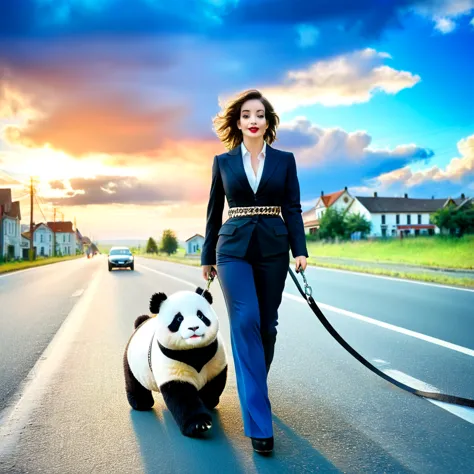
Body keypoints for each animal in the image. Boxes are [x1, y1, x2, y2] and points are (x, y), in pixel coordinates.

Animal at [121, 286, 227, 436]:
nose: (194, 328)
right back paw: (141, 403)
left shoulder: (213, 356)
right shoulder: (171, 362)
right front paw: (198, 424)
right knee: (134, 382)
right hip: (132, 363)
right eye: (179, 318)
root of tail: (142, 322)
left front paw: (208, 400)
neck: (193, 350)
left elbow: (215, 382)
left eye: (200, 315)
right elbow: (182, 395)